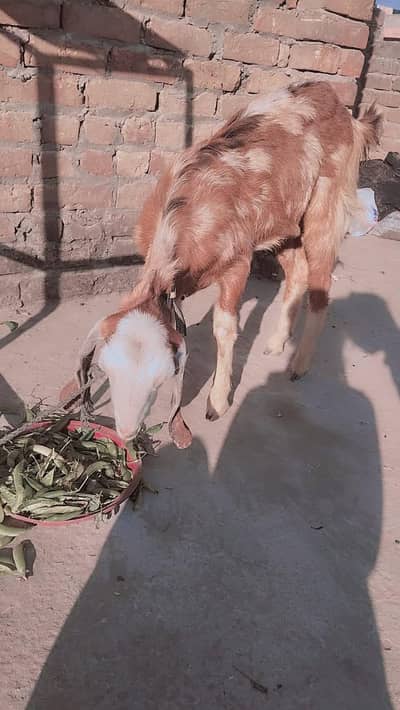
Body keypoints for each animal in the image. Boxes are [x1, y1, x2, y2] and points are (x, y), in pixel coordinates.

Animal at [77, 81, 381, 449]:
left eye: (160, 381)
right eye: (107, 371)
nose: (126, 432)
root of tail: (341, 108)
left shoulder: (238, 262)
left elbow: (224, 327)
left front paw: (217, 402)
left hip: (326, 207)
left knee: (321, 282)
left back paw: (299, 364)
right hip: (283, 223)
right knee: (298, 272)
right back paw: (277, 342)